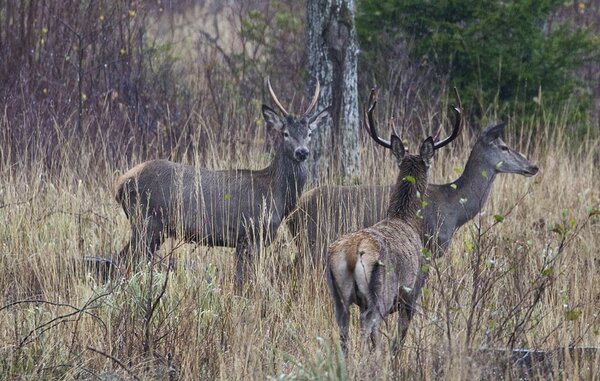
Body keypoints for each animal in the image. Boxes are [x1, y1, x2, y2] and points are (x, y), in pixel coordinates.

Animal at [115, 80, 330, 288]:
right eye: (285, 133)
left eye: (309, 133)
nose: (302, 152)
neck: (273, 192)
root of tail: (119, 185)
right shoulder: (249, 233)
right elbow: (243, 280)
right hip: (147, 223)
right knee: (125, 260)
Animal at [328, 89, 460, 354]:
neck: (406, 219)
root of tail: (350, 254)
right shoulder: (413, 291)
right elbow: (399, 340)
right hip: (382, 292)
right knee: (366, 326)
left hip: (338, 296)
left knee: (344, 332)